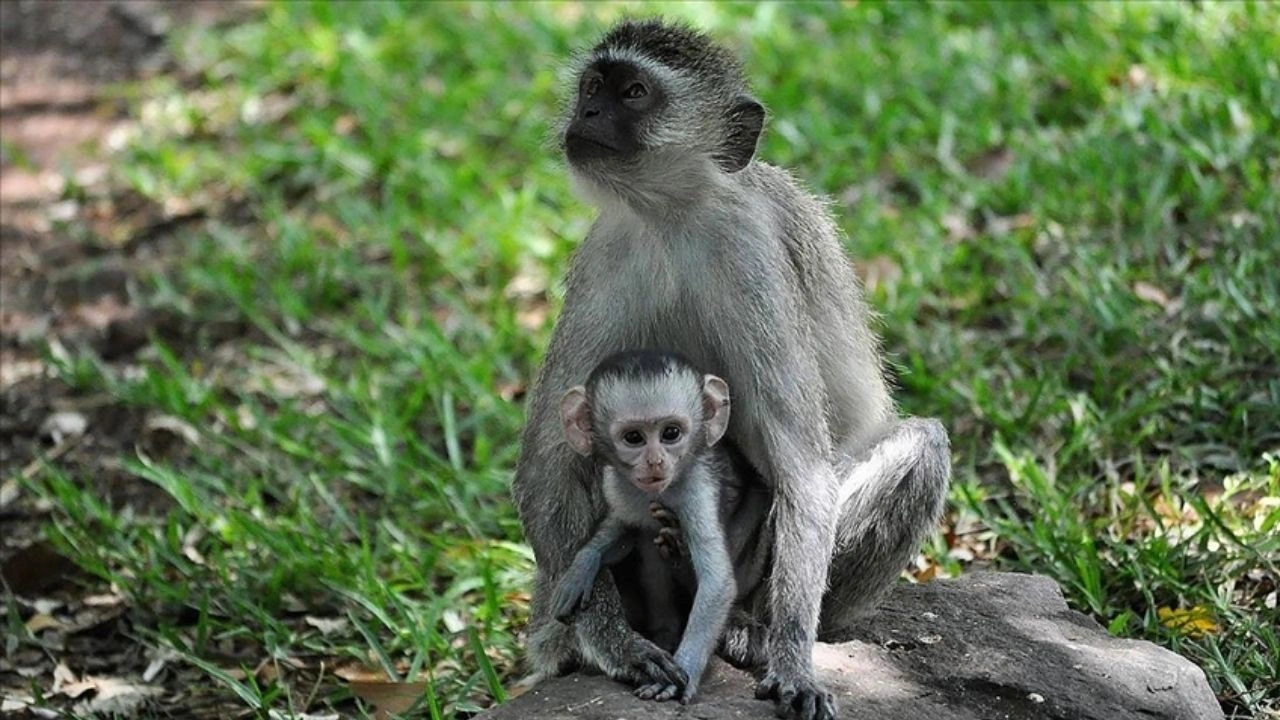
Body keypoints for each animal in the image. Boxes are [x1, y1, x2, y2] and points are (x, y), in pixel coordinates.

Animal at [548, 349, 770, 703]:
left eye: (671, 433)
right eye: (634, 438)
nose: (655, 462)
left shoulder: (695, 488)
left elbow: (718, 583)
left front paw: (686, 670)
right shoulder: (618, 485)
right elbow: (623, 528)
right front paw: (582, 566)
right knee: (648, 537)